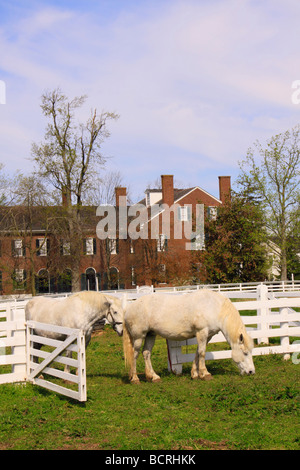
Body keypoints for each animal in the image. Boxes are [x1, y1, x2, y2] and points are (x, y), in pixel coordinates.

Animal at [123, 290, 254, 386]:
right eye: (245, 353)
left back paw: (153, 377)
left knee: (146, 353)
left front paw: (195, 374)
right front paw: (205, 374)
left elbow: (198, 352)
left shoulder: (207, 335)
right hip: (139, 337)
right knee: (135, 354)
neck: (213, 307)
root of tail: (128, 308)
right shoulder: (202, 332)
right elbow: (202, 353)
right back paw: (135, 378)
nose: (251, 372)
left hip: (151, 335)